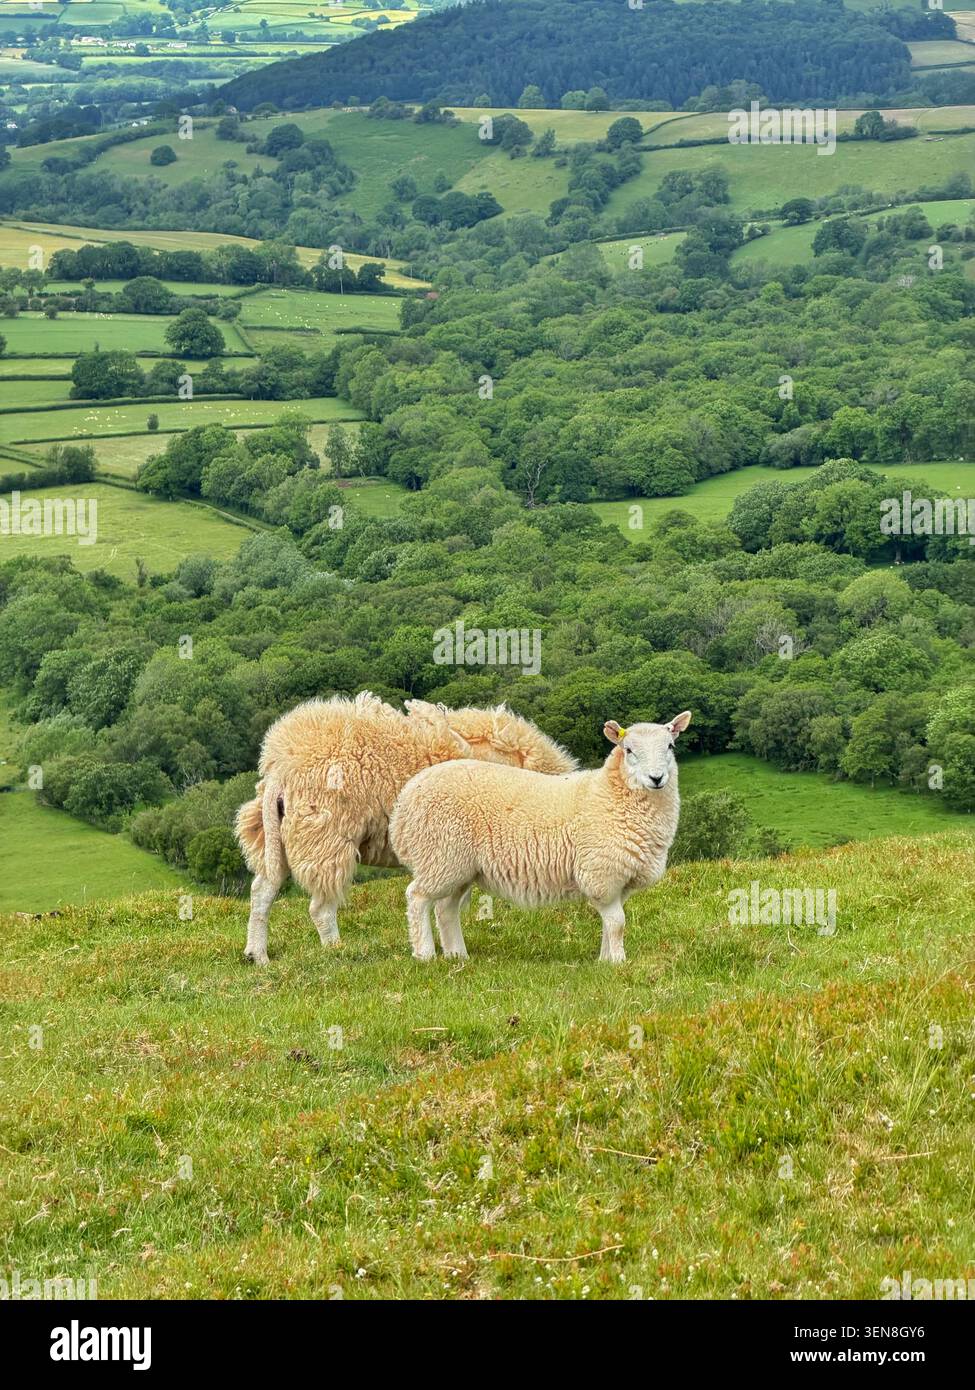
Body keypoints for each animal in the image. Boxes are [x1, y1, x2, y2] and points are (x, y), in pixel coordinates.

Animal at [235, 691, 577, 964]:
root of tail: (281, 769)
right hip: (324, 838)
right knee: (320, 907)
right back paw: (336, 950)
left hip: (278, 836)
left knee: (262, 890)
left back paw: (258, 955)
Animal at [388, 712, 692, 965]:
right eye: (628, 750)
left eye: (670, 746)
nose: (656, 778)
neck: (610, 793)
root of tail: (403, 804)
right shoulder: (600, 875)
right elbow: (617, 923)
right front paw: (617, 962)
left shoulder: (619, 880)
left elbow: (611, 924)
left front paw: (605, 960)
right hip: (440, 854)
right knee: (417, 897)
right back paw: (425, 955)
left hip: (458, 867)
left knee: (445, 909)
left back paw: (457, 956)